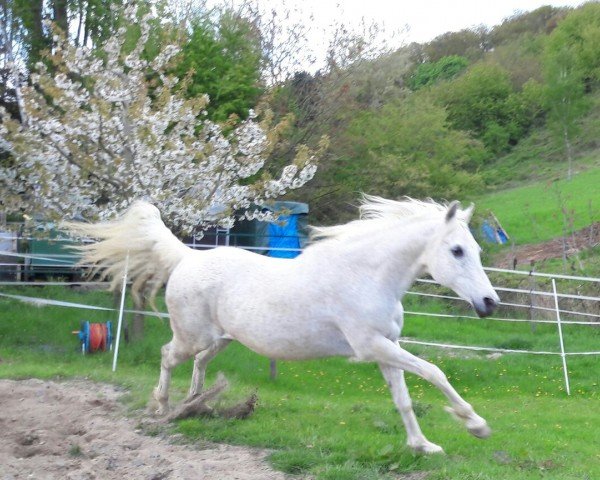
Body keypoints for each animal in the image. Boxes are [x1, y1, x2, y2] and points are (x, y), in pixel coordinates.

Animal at [68, 195, 500, 454]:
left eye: (477, 250)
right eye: (456, 251)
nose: (489, 303)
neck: (366, 276)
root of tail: (188, 257)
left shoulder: (386, 346)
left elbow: (404, 399)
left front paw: (422, 446)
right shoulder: (371, 346)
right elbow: (435, 372)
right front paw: (477, 425)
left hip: (222, 339)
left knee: (199, 364)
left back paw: (195, 404)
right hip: (193, 335)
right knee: (168, 355)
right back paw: (162, 407)